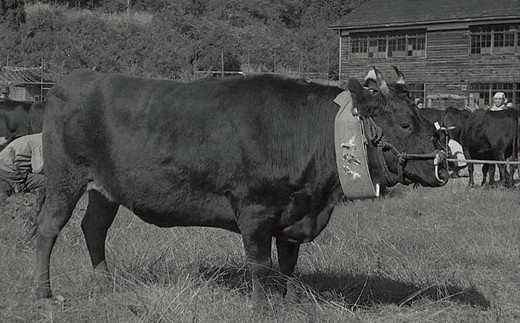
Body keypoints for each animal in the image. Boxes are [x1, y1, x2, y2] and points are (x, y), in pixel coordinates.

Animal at [32, 67, 448, 306]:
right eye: (405, 123)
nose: (442, 164)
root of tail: (69, 81)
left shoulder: (295, 214)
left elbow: (288, 266)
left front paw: (289, 304)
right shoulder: (256, 210)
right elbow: (260, 267)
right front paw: (264, 308)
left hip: (105, 189)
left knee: (94, 228)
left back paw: (105, 284)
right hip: (65, 177)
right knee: (48, 228)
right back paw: (45, 293)